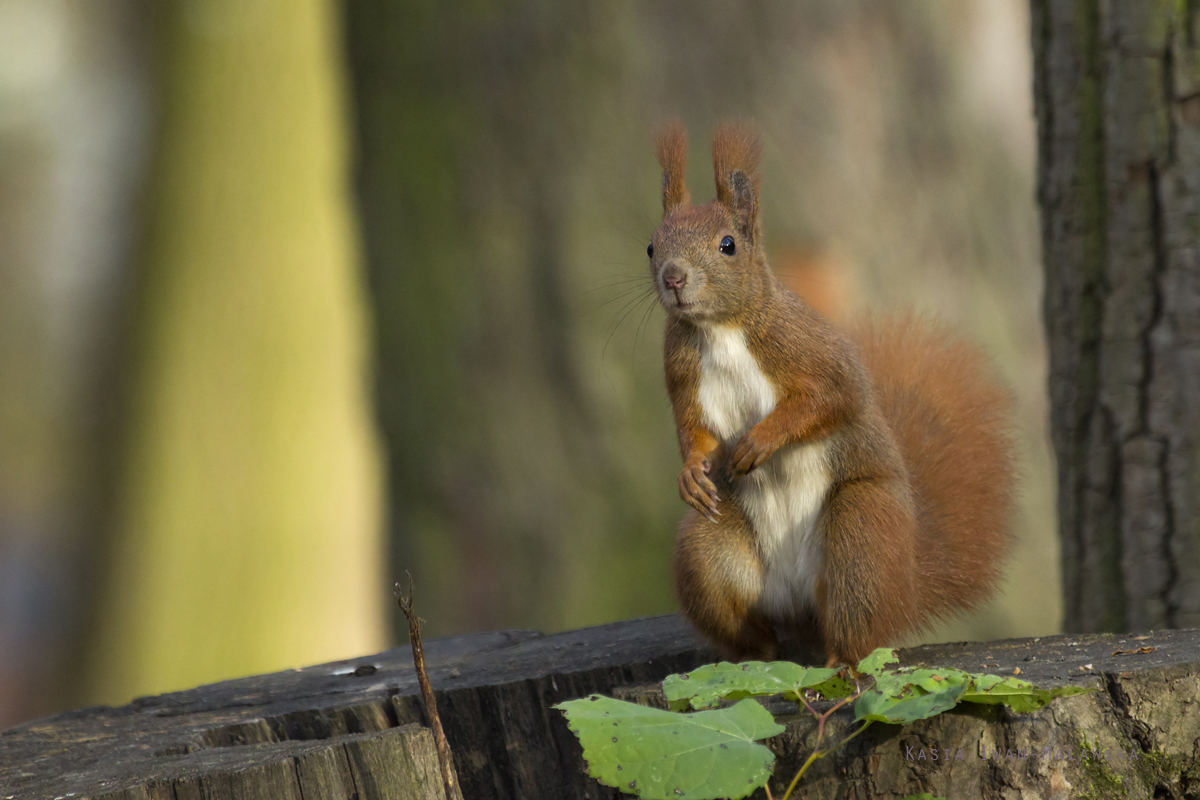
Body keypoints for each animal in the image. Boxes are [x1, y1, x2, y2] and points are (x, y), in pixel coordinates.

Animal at [652, 122, 1017, 666]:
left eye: (728, 245)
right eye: (650, 246)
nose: (673, 278)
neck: (718, 329)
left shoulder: (810, 350)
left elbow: (830, 399)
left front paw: (760, 440)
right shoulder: (681, 376)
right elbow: (692, 430)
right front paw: (692, 474)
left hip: (859, 534)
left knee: (855, 629)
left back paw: (841, 663)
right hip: (708, 553)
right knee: (752, 627)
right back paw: (759, 661)